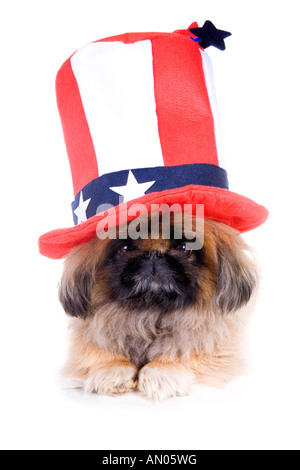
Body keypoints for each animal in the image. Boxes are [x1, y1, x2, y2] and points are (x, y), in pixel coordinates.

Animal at [59, 213, 258, 400]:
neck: (151, 313)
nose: (154, 255)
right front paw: (112, 369)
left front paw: (162, 369)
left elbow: (186, 349)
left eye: (184, 248)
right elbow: (95, 351)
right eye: (125, 248)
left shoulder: (218, 346)